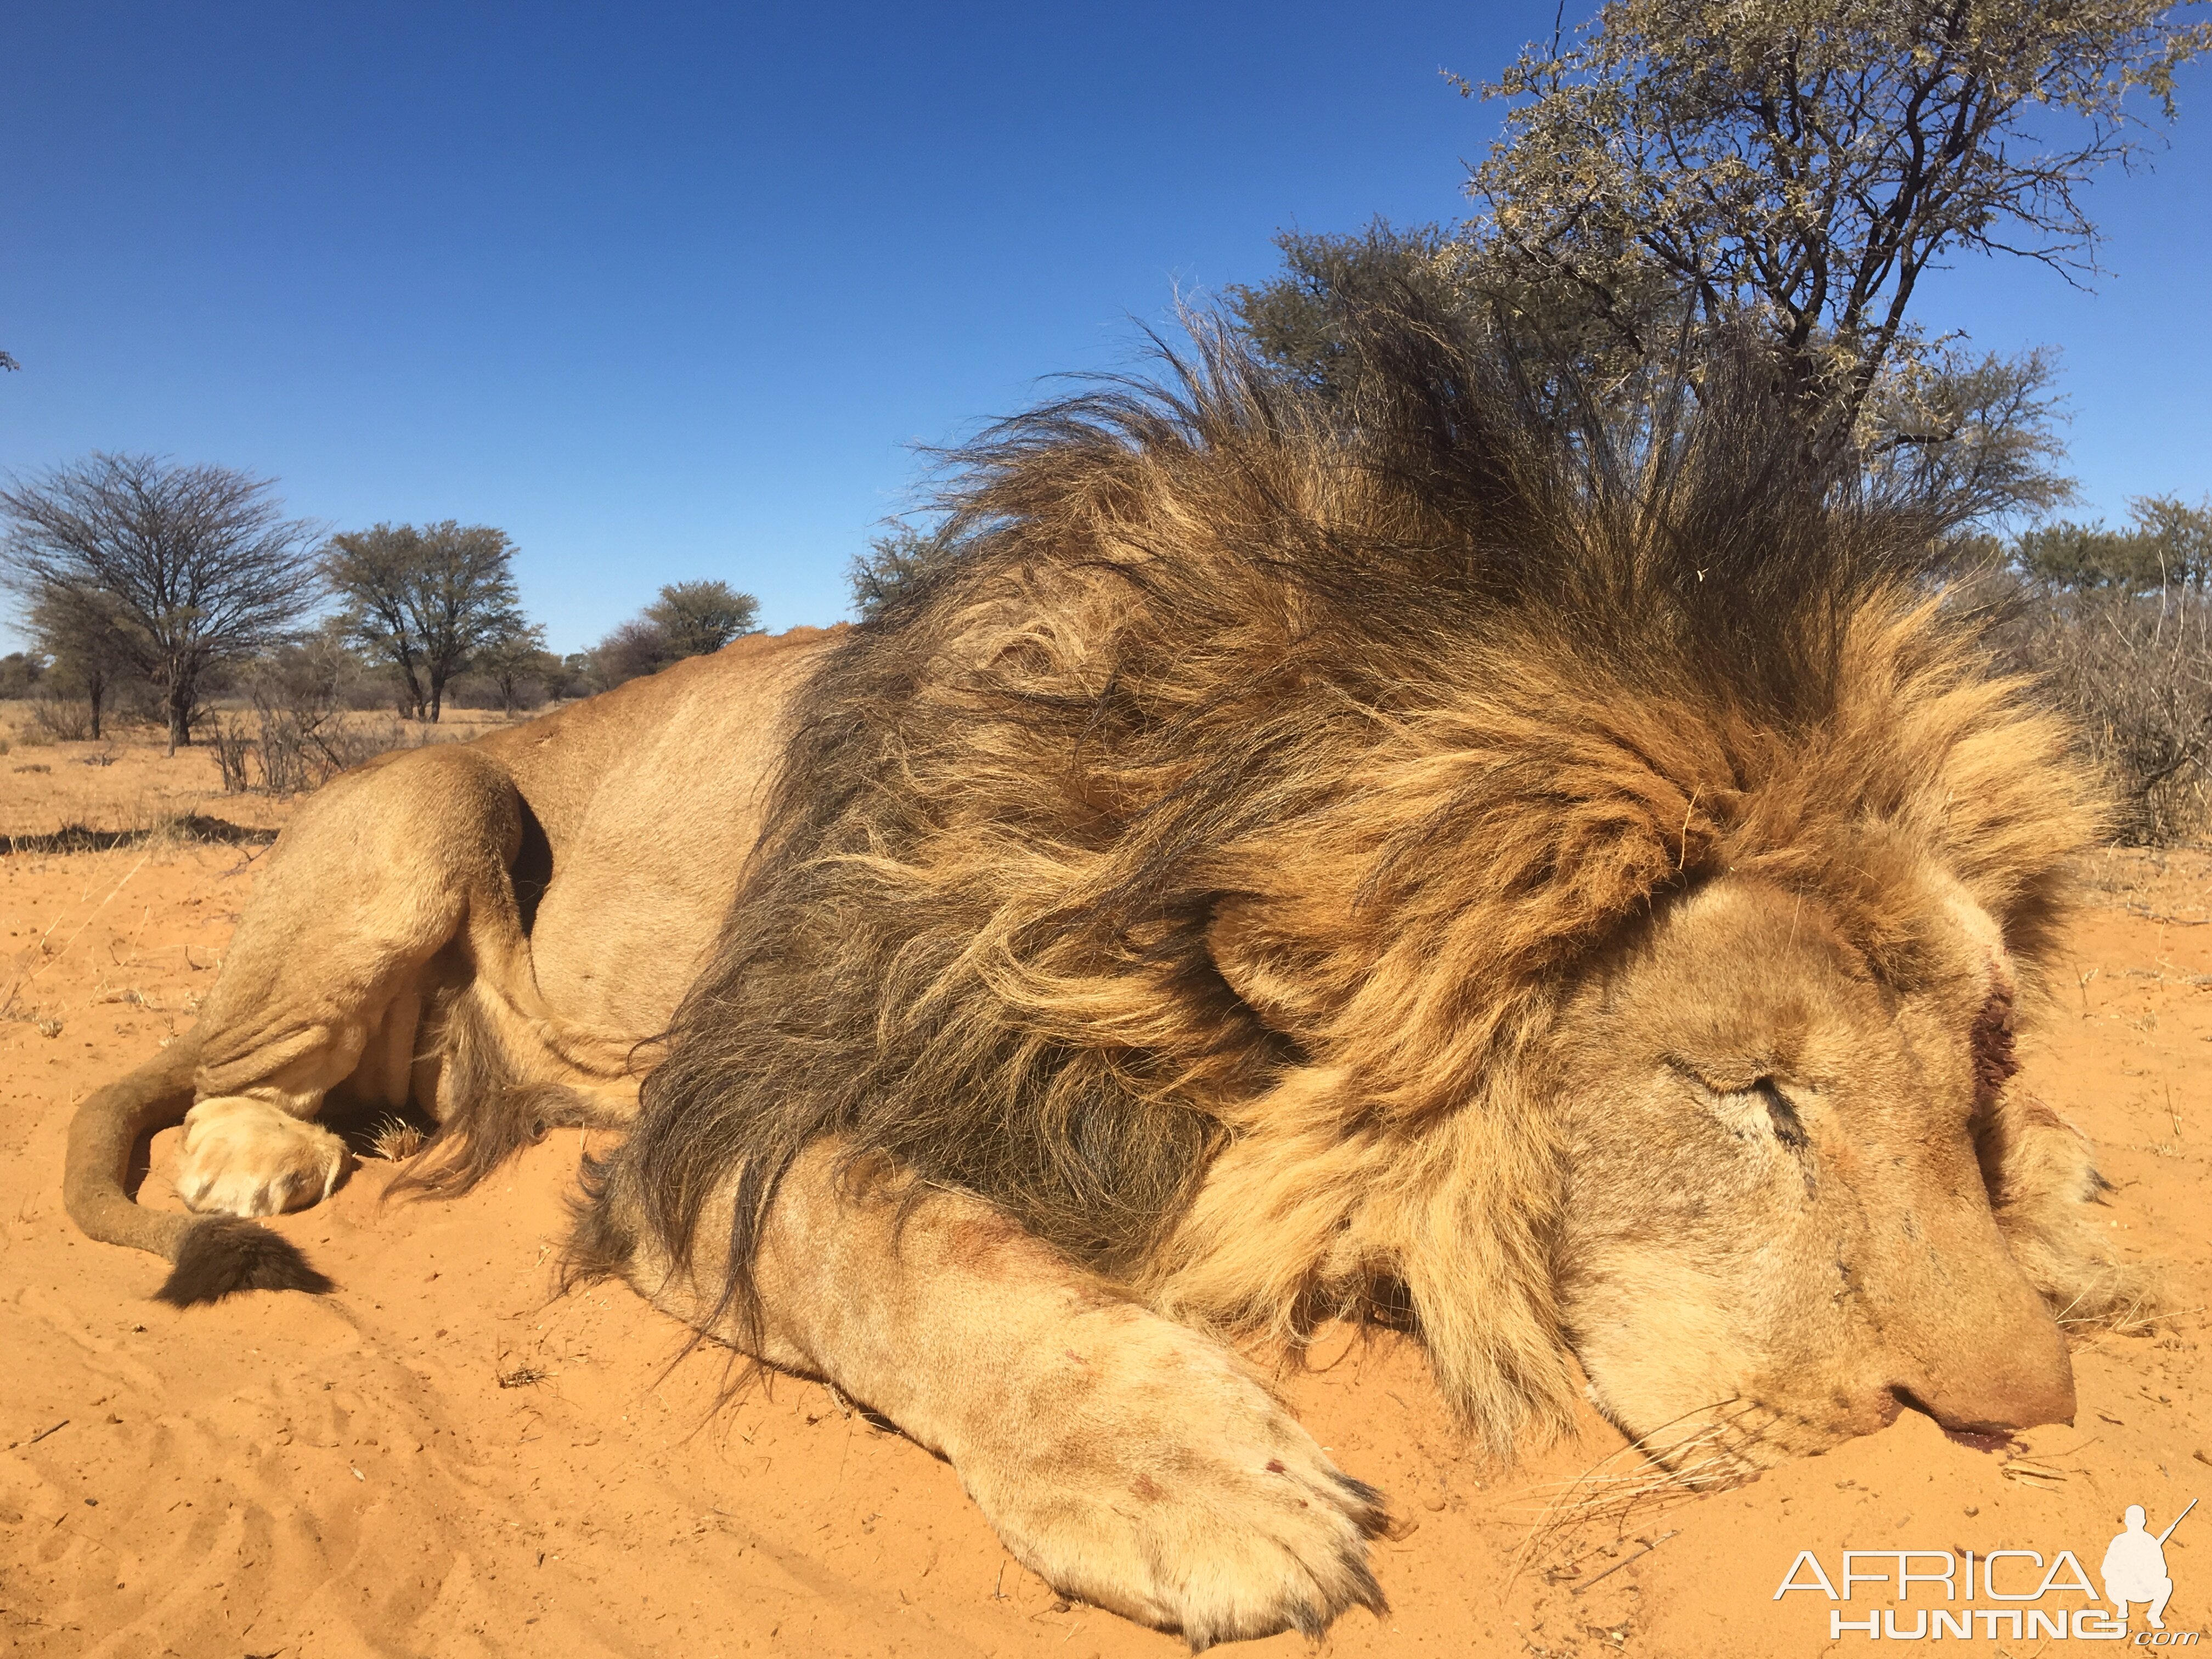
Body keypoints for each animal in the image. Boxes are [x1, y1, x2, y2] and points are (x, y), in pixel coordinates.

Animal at [64, 312, 2141, 1654]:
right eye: (1749, 1097)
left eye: (1965, 1055)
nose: (2019, 1417)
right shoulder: (719, 1120)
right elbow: (896, 1249)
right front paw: (1194, 1479)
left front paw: (2066, 1194)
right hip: (443, 798)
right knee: (223, 1054)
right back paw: (250, 1154)